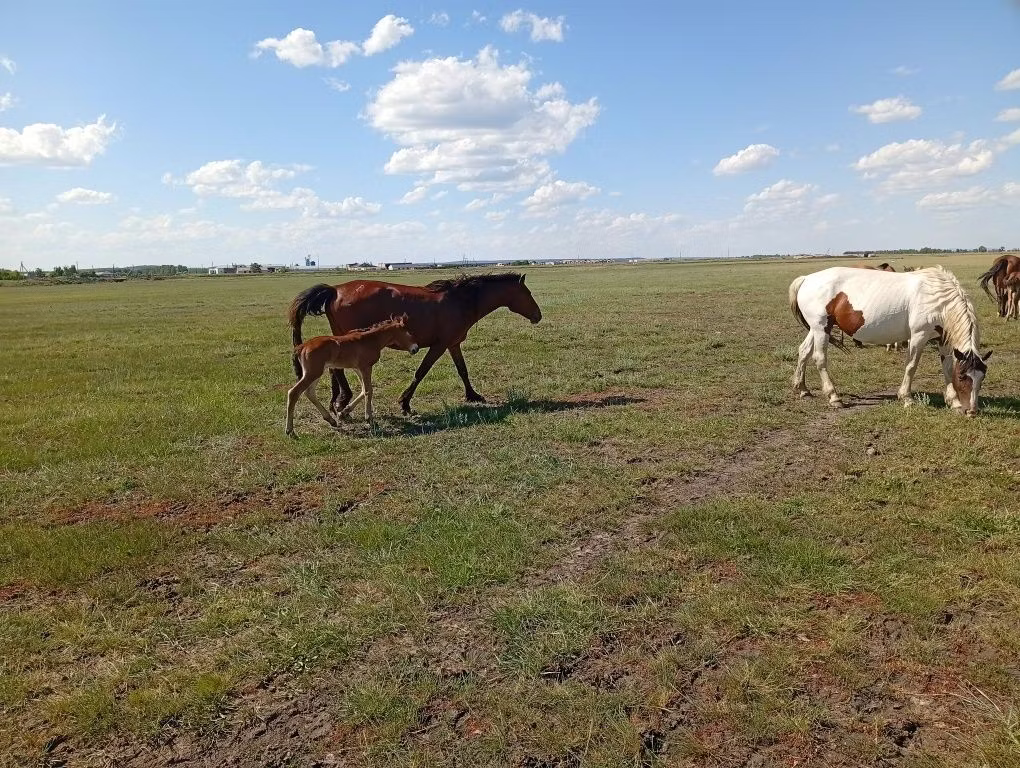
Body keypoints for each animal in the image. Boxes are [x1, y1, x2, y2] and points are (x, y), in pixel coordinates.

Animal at [285, 314, 420, 437]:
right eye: (410, 332)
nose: (416, 348)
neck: (371, 340)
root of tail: (302, 346)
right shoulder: (366, 367)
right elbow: (368, 391)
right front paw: (369, 419)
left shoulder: (358, 369)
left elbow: (364, 389)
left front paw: (344, 412)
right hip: (313, 372)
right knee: (294, 392)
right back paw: (290, 431)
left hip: (315, 372)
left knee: (310, 393)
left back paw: (331, 420)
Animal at [288, 273, 542, 415]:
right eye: (528, 293)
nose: (538, 315)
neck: (460, 301)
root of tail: (334, 290)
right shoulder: (439, 345)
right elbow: (421, 372)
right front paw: (405, 403)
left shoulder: (453, 344)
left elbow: (463, 370)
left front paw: (473, 396)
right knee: (337, 369)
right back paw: (342, 402)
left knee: (335, 369)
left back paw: (338, 402)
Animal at [789, 266, 991, 415]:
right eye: (963, 377)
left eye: (981, 378)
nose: (972, 411)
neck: (938, 298)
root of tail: (806, 278)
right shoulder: (918, 336)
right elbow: (911, 366)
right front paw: (906, 398)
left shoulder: (943, 340)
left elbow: (947, 369)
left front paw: (954, 402)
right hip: (821, 328)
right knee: (820, 359)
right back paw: (834, 397)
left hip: (818, 328)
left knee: (803, 351)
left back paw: (802, 389)